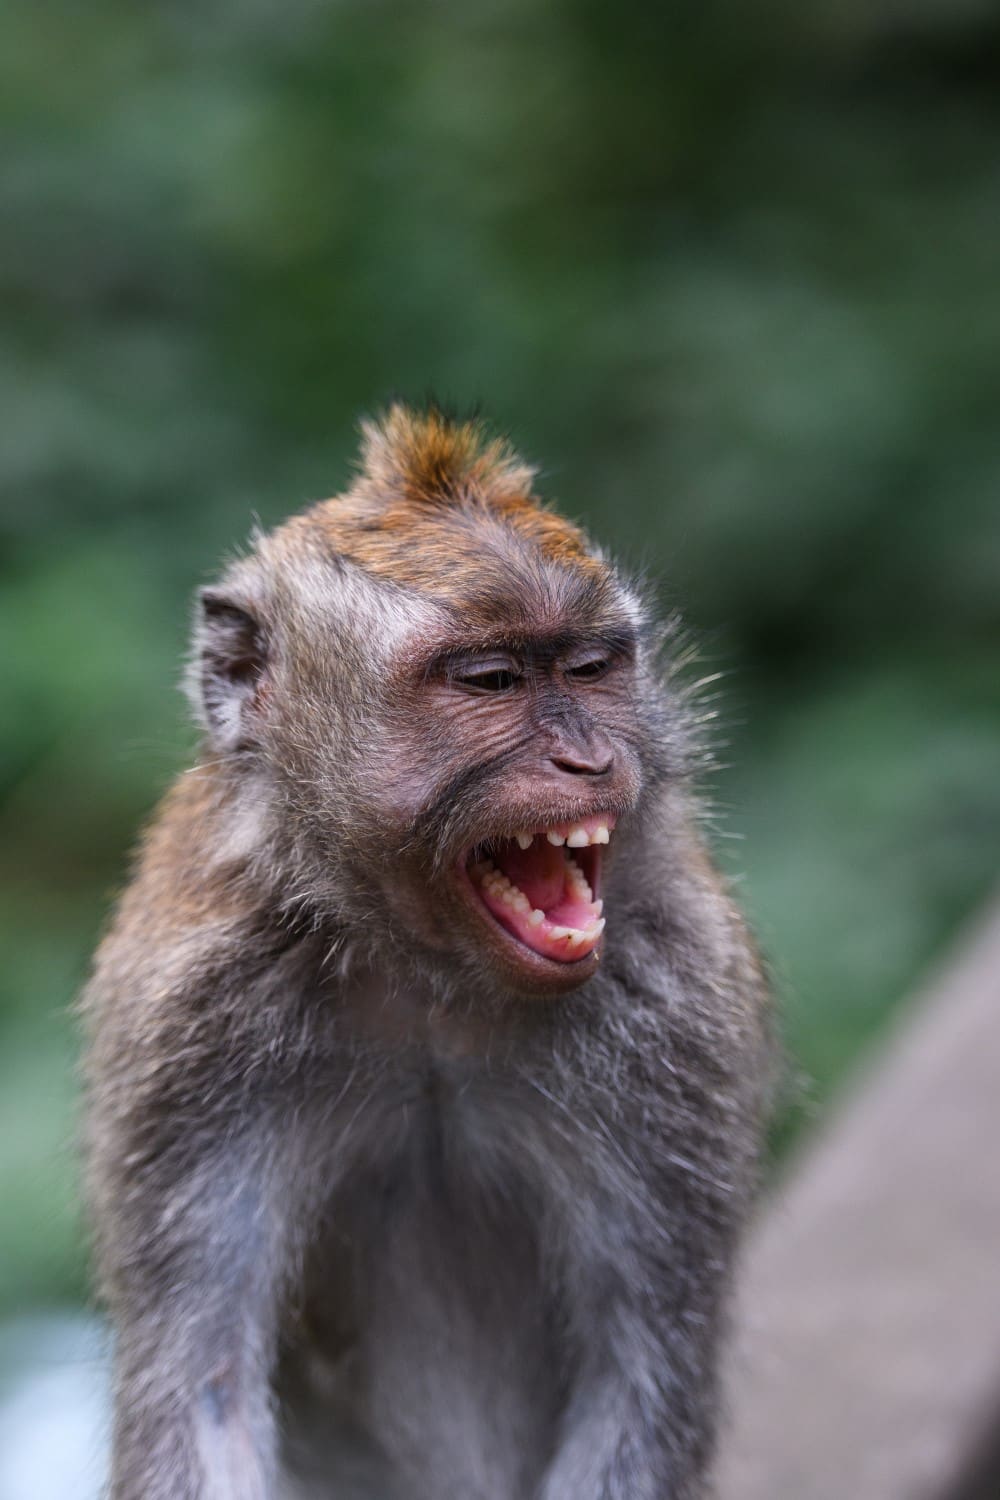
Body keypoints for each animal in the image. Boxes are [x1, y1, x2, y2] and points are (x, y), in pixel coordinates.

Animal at [80, 405, 770, 1500]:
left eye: (591, 669)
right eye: (490, 680)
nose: (589, 758)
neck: (431, 985)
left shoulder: (679, 1004)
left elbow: (640, 1370)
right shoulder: (189, 1026)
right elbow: (205, 1384)